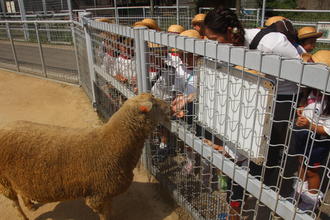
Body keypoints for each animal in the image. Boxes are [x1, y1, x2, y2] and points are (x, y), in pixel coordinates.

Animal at [0, 93, 170, 220]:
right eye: (154, 105)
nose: (169, 107)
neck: (112, 143)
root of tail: (4, 128)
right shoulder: (97, 195)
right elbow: (104, 214)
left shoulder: (106, 191)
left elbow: (110, 210)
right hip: (4, 181)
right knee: (14, 202)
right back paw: (24, 216)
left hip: (16, 178)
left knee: (21, 190)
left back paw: (30, 205)